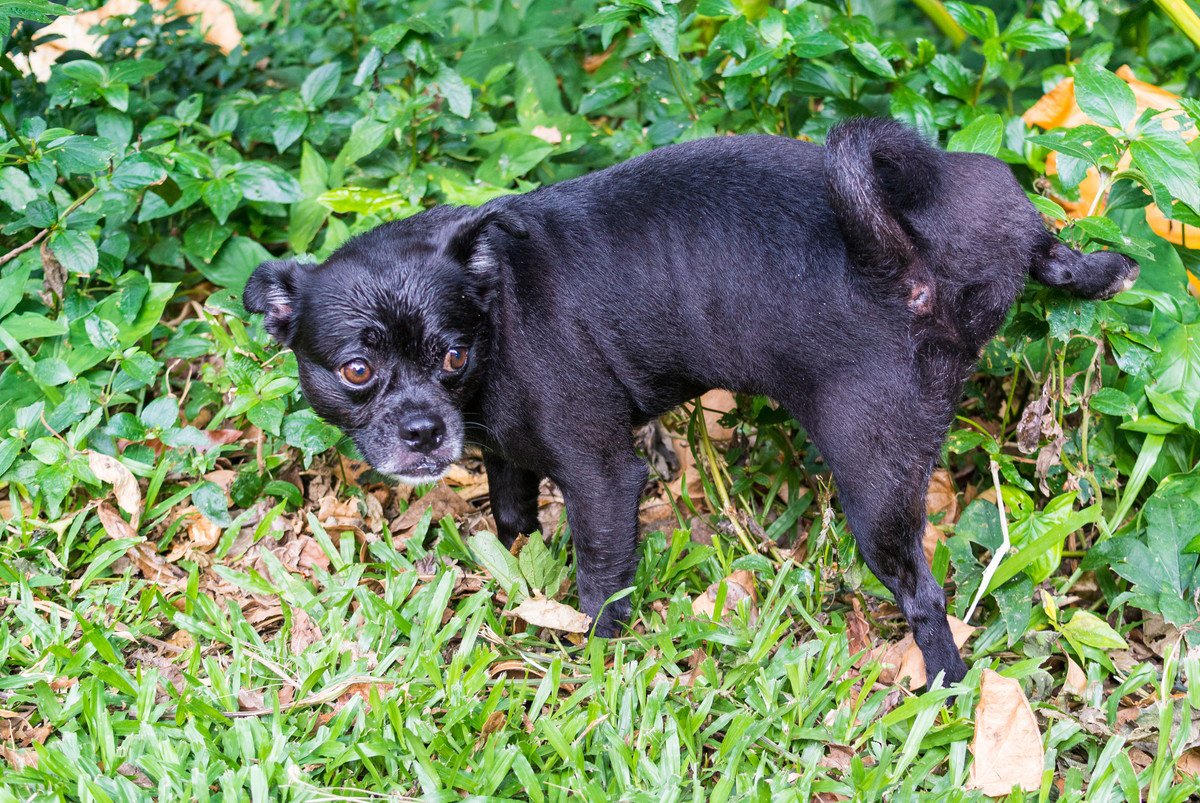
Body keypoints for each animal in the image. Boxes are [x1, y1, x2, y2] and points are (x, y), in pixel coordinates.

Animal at [241, 118, 1132, 681]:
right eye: (358, 369)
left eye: (452, 355)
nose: (425, 430)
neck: (497, 304)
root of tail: (904, 255)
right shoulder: (506, 455)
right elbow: (514, 518)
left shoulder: (602, 477)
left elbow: (601, 581)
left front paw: (594, 666)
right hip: (986, 197)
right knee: (1045, 242)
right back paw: (1103, 268)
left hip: (874, 480)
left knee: (924, 593)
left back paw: (944, 683)